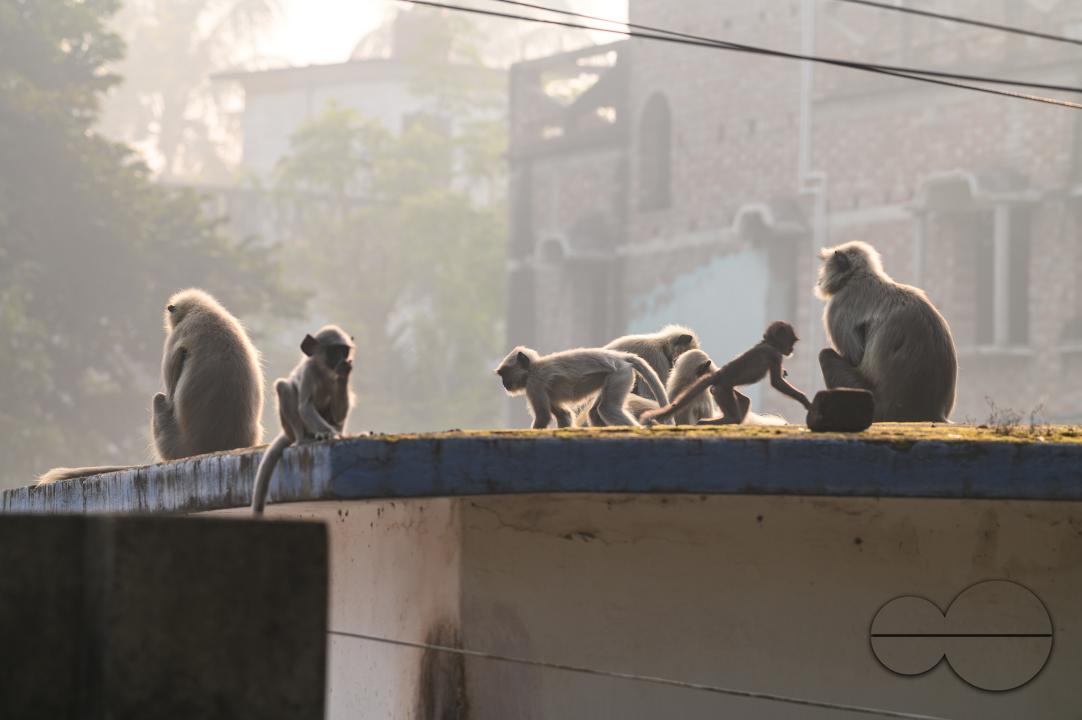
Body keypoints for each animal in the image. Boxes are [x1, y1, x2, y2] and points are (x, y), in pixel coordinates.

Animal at [251, 326, 354, 515]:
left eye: (343, 351)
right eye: (334, 351)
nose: (342, 360)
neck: (323, 371)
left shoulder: (333, 378)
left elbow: (338, 414)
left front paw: (345, 374)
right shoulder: (308, 371)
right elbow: (305, 406)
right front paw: (328, 434)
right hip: (289, 427)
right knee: (284, 387)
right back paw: (302, 439)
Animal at [495, 346, 669, 428]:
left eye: (504, 373)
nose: (504, 384)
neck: (532, 368)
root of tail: (621, 357)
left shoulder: (534, 384)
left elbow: (543, 418)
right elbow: (564, 415)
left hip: (619, 374)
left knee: (607, 408)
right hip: (616, 376)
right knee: (595, 412)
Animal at [642, 322, 811, 426]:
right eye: (791, 342)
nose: (791, 350)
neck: (768, 343)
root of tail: (719, 375)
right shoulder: (774, 355)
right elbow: (776, 382)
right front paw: (805, 401)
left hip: (721, 390)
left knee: (745, 402)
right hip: (723, 389)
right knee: (734, 416)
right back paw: (714, 422)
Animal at [816, 241, 957, 422]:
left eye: (826, 267)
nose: (820, 280)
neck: (859, 275)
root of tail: (932, 412)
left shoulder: (838, 304)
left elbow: (856, 356)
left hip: (874, 405)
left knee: (825, 355)